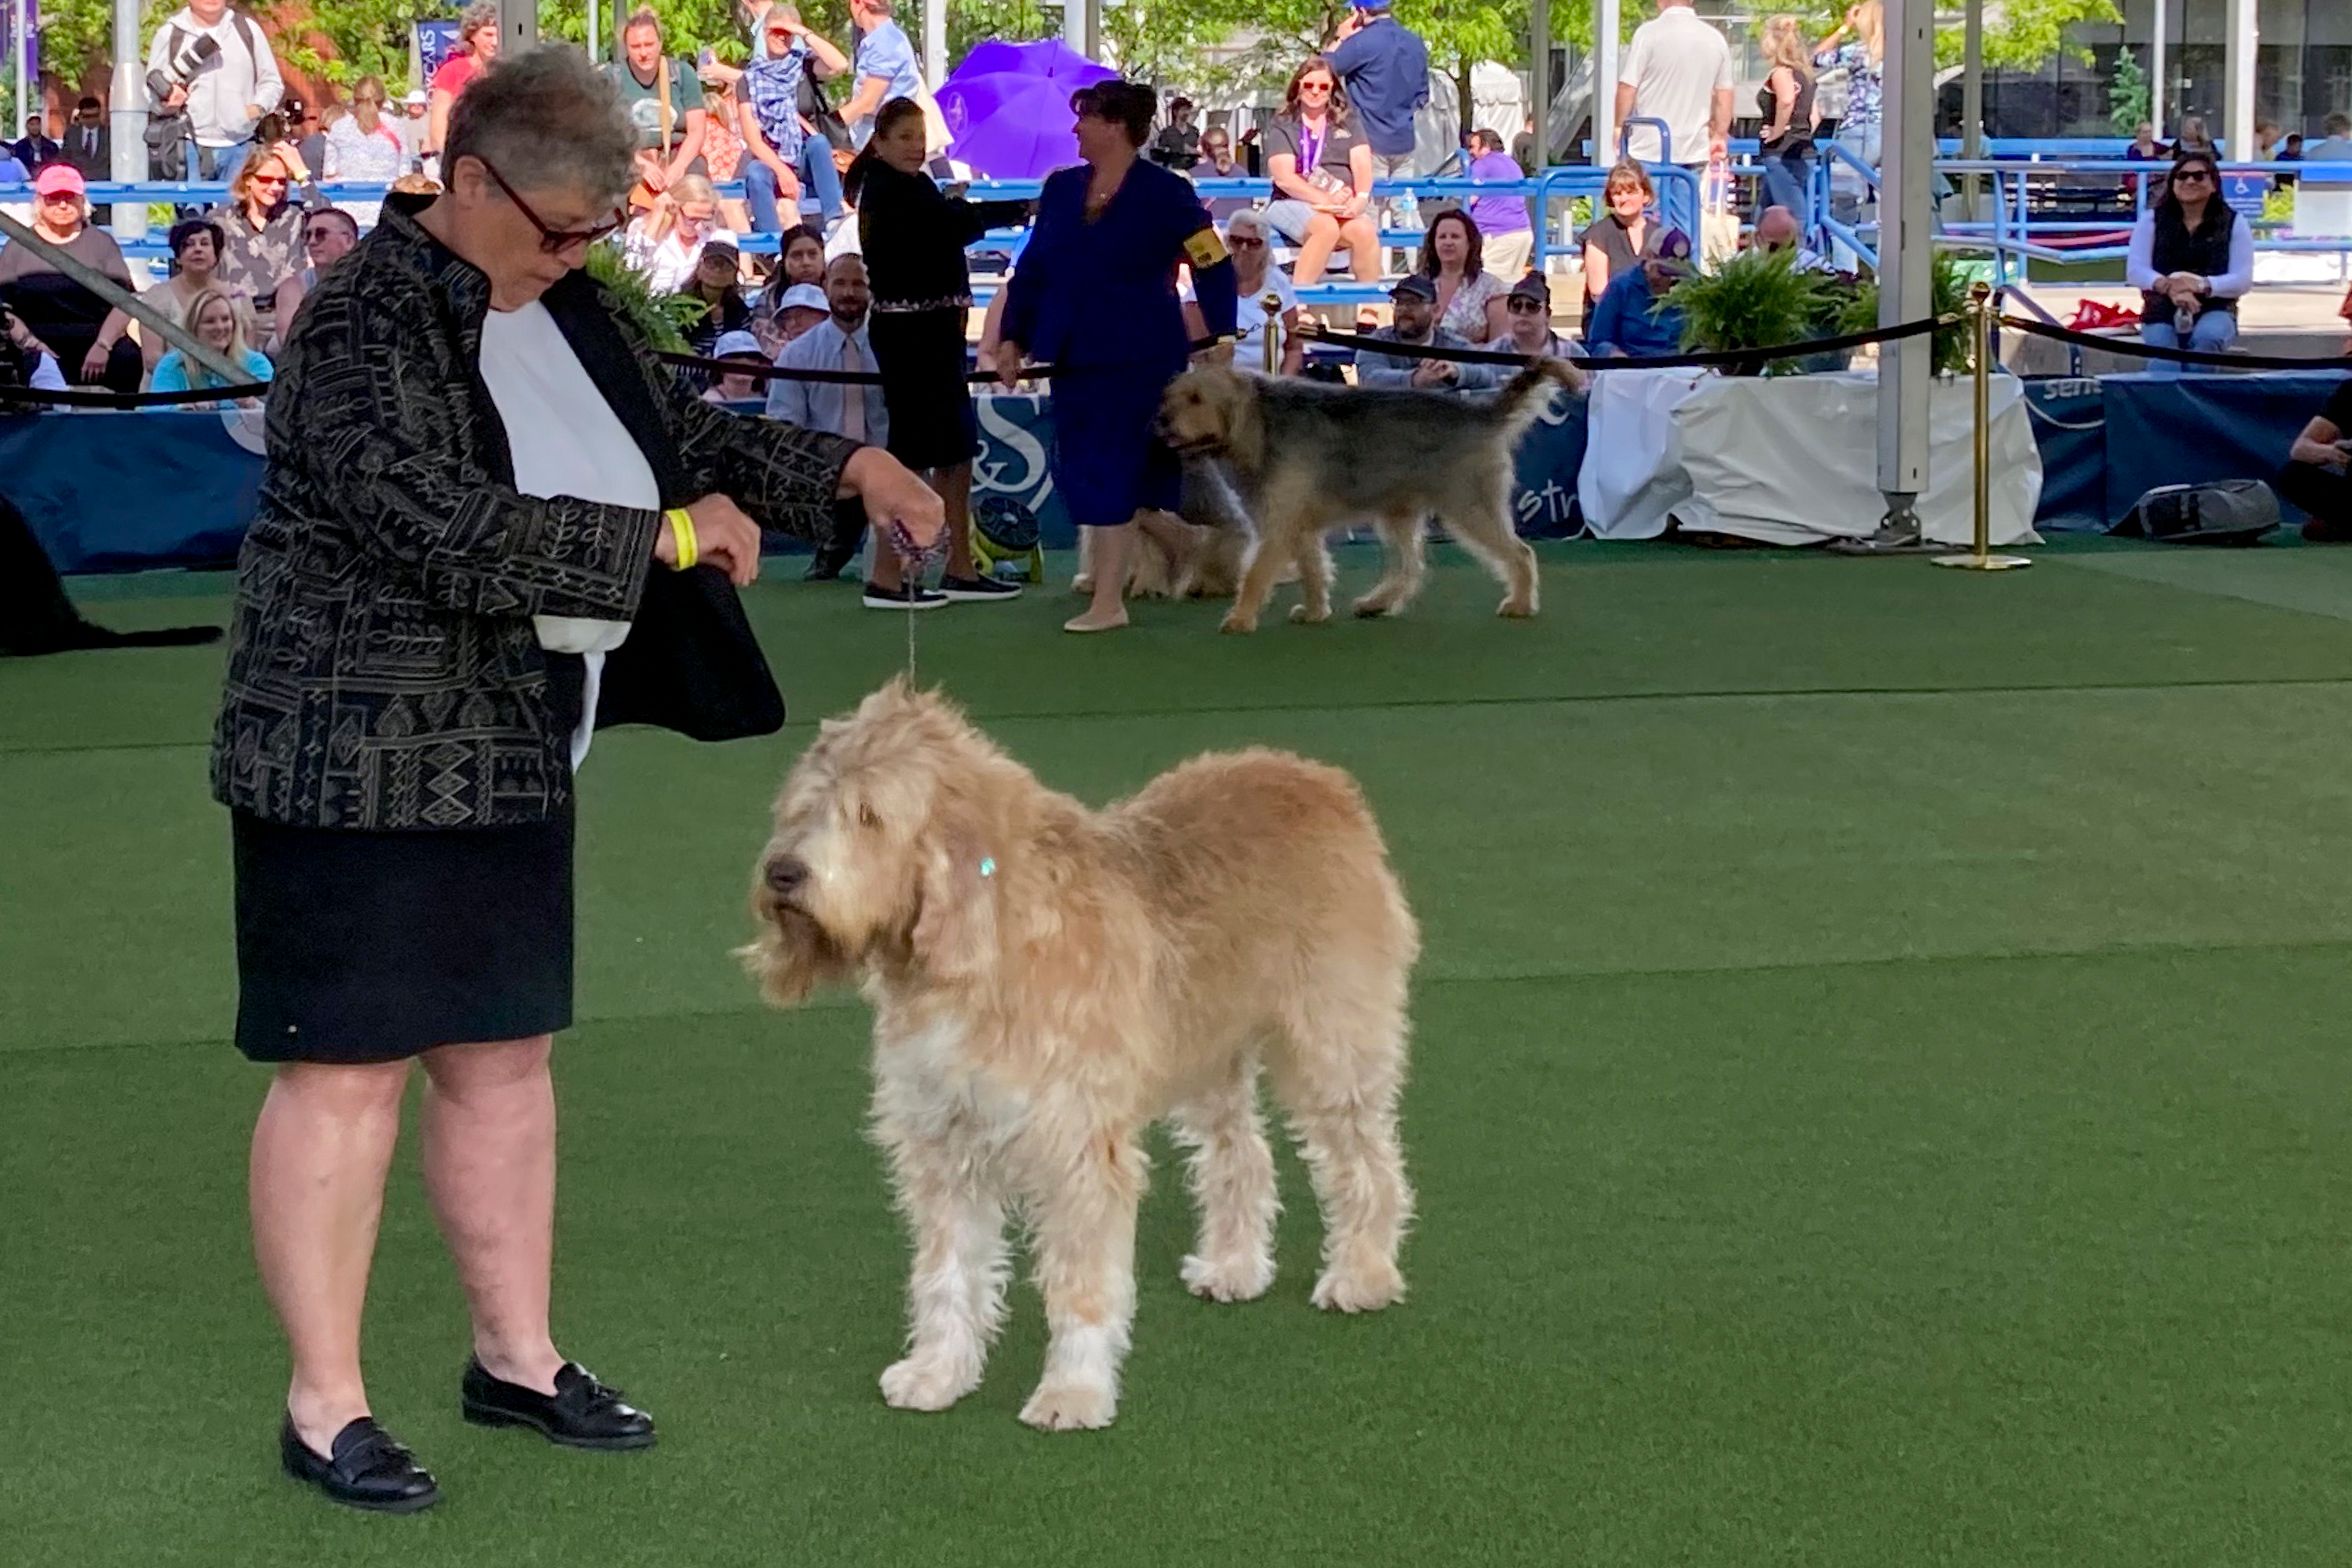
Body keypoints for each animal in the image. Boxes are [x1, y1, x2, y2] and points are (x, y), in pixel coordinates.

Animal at [743, 681, 1420, 1429]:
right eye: (803, 808)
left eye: (869, 816)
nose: (782, 873)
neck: (980, 950)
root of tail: (1323, 783)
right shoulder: (945, 1147)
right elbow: (946, 1275)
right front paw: (938, 1371)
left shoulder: (1078, 1153)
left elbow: (1081, 1284)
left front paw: (1073, 1390)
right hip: (1207, 1058)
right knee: (1242, 1157)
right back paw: (1234, 1267)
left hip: (1332, 1049)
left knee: (1368, 1163)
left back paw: (1362, 1273)